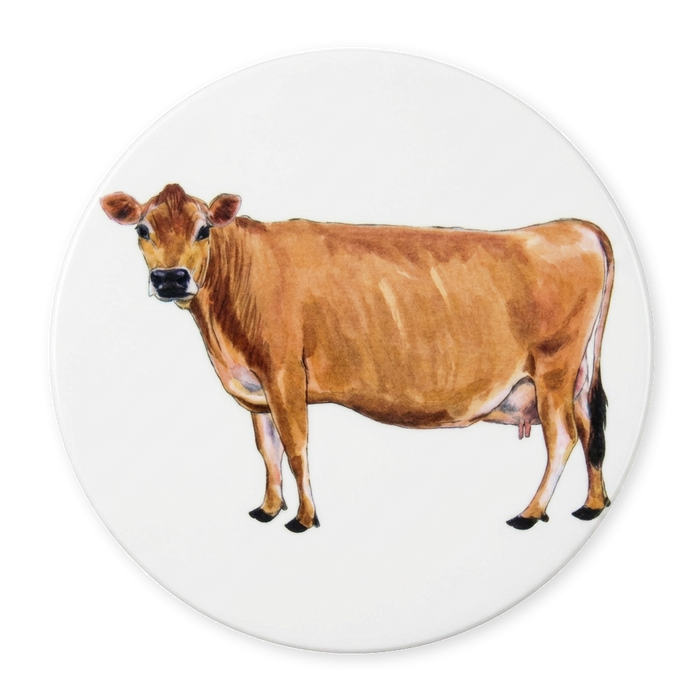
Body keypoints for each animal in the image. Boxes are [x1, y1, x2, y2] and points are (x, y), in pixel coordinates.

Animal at [101, 184, 614, 532]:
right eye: (143, 229)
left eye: (203, 229)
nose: (170, 279)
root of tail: (577, 227)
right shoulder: (255, 389)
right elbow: (268, 450)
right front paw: (268, 508)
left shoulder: (283, 373)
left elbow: (296, 447)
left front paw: (304, 518)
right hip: (577, 374)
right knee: (590, 428)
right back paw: (592, 505)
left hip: (552, 369)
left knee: (563, 437)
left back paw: (530, 512)